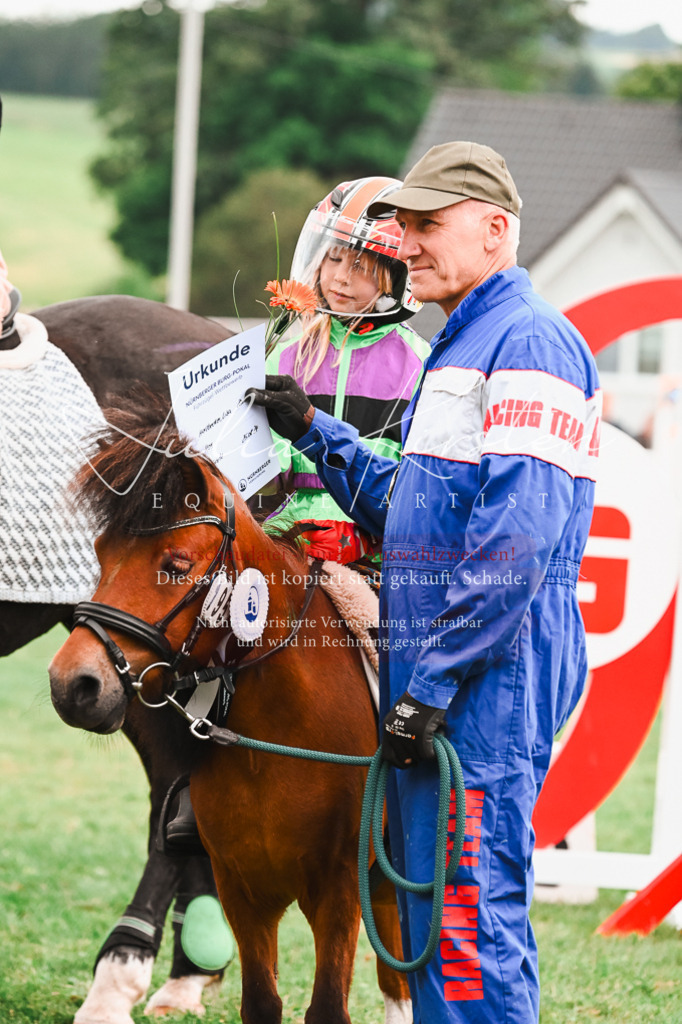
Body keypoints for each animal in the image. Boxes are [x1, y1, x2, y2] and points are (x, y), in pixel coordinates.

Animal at [47, 396, 412, 1024]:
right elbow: (262, 1003)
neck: (281, 737)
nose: (74, 685)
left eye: (174, 563)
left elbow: (327, 1007)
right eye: (99, 553)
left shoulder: (338, 889)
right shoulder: (244, 891)